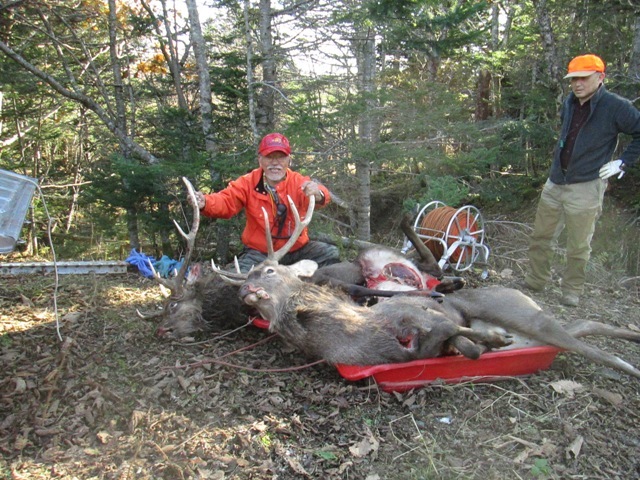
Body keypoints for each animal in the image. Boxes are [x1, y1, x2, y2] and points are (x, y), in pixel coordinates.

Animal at [218, 195, 640, 378]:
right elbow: (463, 344)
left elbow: (454, 329)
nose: (243, 292)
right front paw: (484, 343)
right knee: (585, 330)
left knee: (589, 338)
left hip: (518, 312)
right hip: (534, 323)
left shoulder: (414, 310)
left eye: (268, 271)